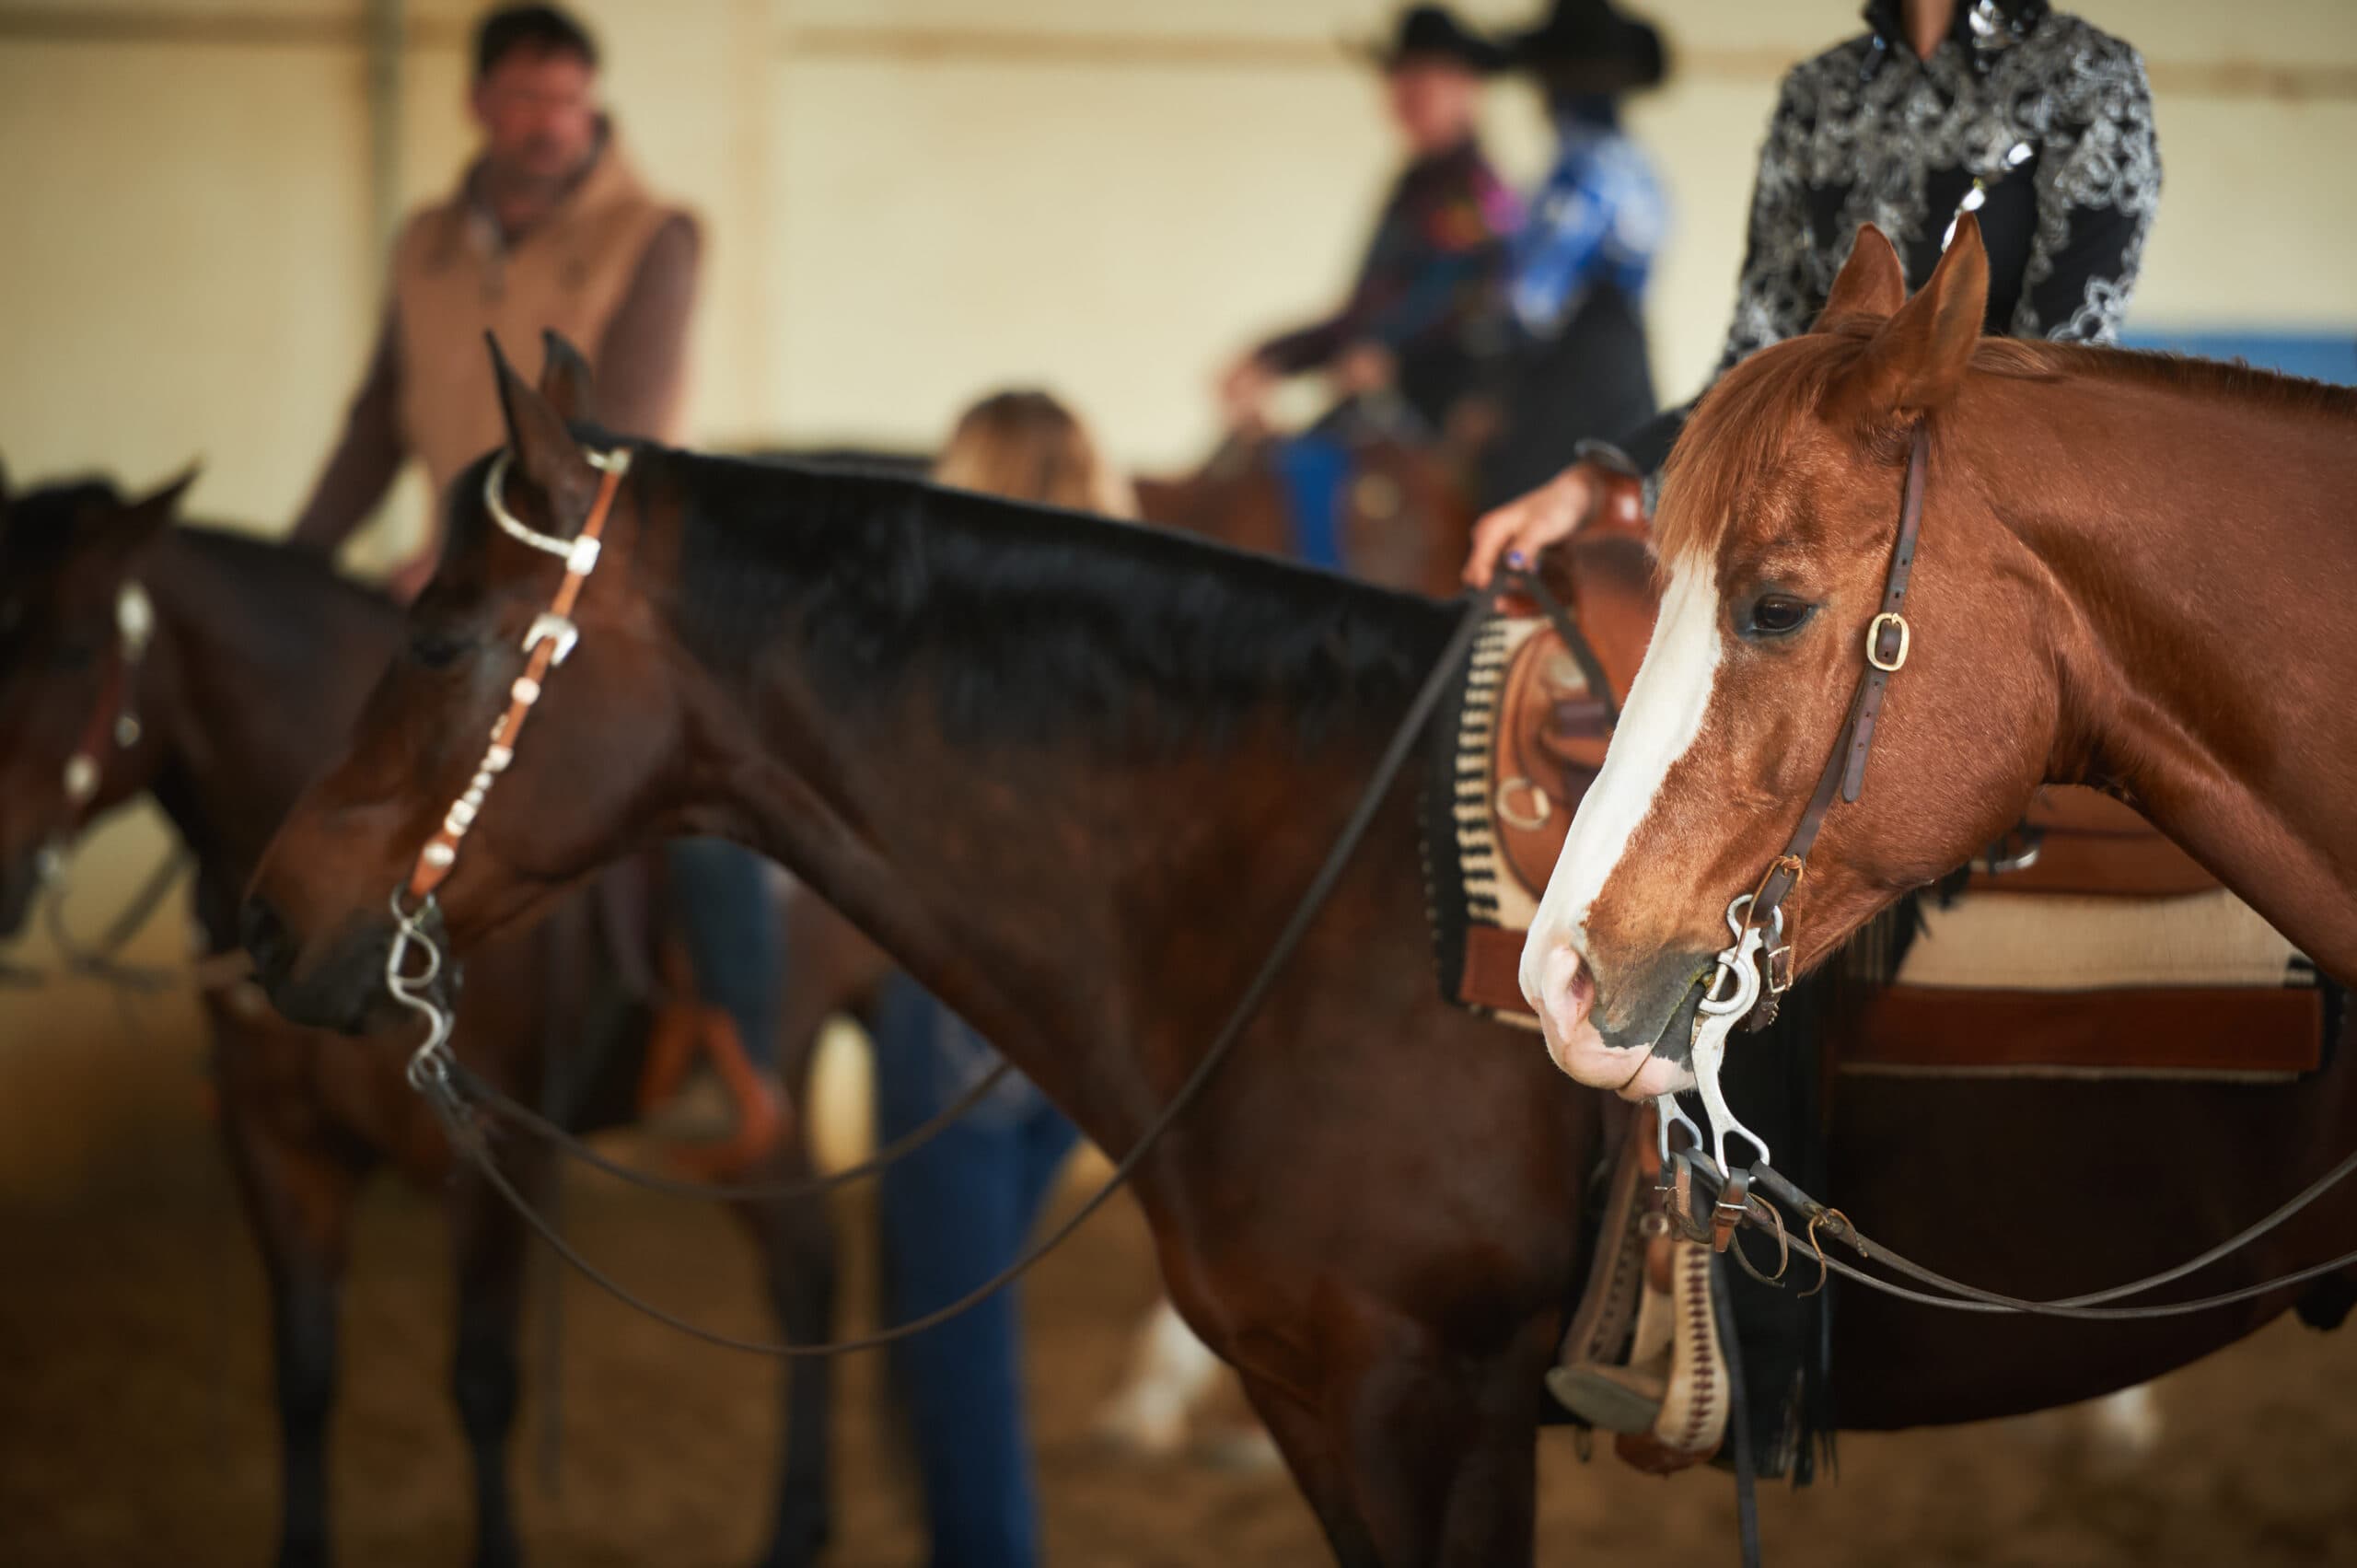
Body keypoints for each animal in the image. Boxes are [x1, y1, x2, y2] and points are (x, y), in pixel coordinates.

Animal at [0, 470, 835, 1568]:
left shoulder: (491, 1153)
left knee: (804, 1276)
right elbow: (304, 1372)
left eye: (72, 648)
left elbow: (482, 1381)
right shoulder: (276, 1144)